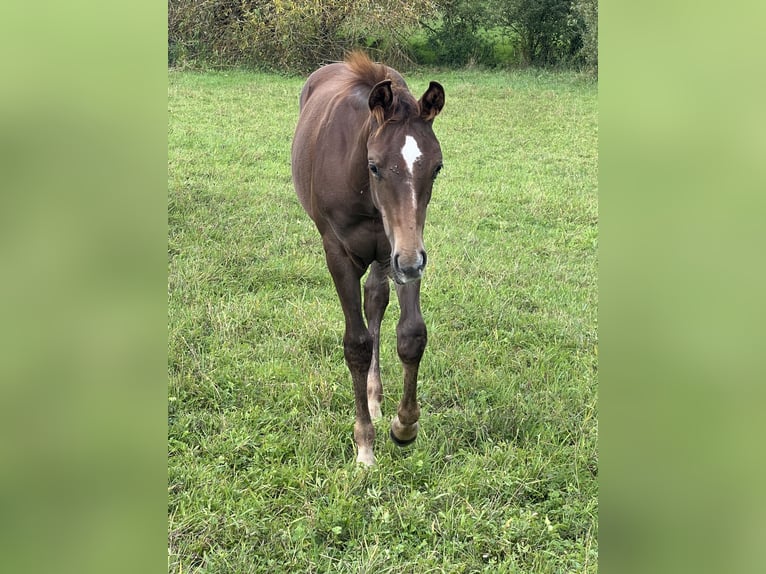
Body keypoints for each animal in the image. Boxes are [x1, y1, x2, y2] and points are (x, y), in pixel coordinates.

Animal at [291, 52, 445, 465]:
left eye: (437, 168)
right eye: (374, 165)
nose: (410, 263)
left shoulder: (404, 248)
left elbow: (411, 334)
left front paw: (404, 426)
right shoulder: (339, 254)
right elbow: (356, 345)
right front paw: (364, 446)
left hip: (386, 254)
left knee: (376, 298)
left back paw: (376, 399)